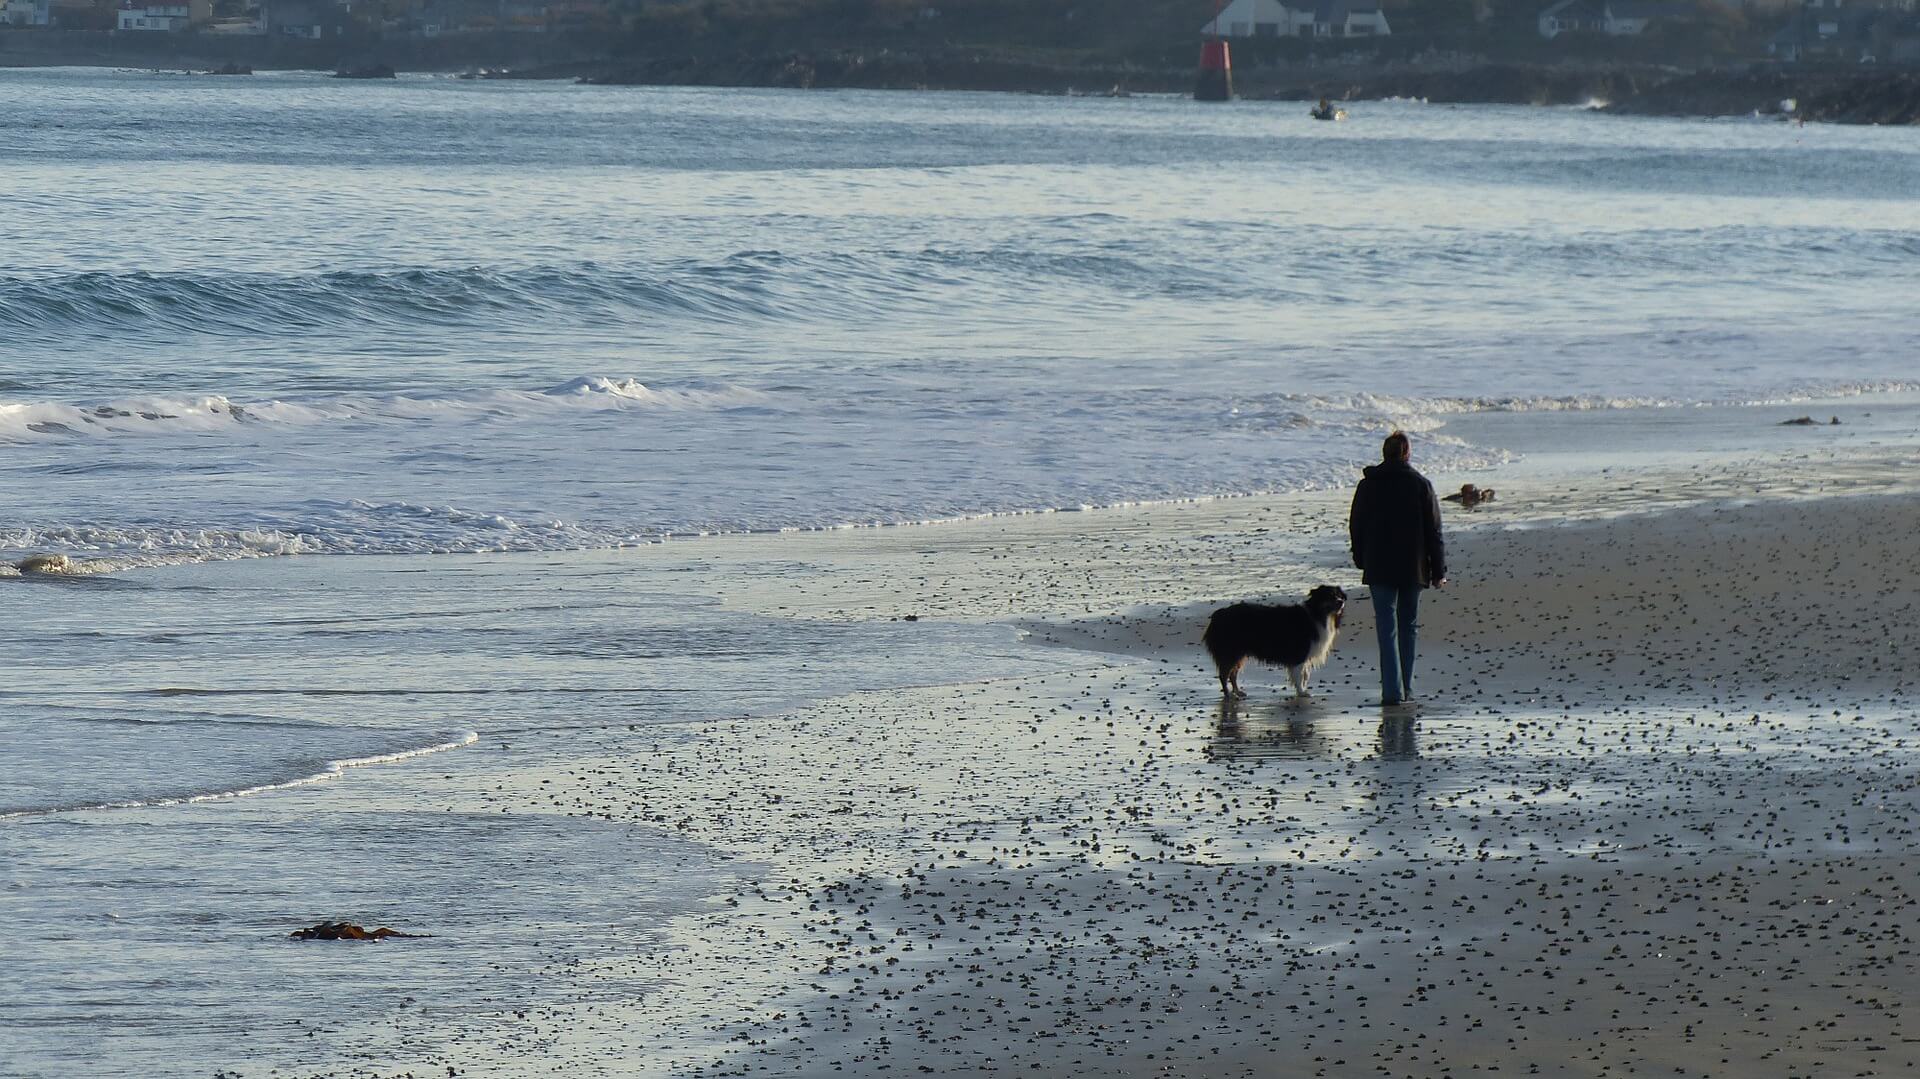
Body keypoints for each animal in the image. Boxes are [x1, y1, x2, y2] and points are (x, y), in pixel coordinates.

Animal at [1198, 587, 1351, 698]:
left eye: (1339, 595)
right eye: (1329, 595)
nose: (1341, 602)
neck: (1318, 614)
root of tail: (1218, 614)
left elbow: (1304, 675)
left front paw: (1301, 690)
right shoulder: (1300, 654)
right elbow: (1300, 675)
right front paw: (1302, 692)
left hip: (1239, 653)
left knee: (1233, 674)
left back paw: (1238, 691)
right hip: (1231, 651)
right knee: (1224, 674)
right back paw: (1228, 694)